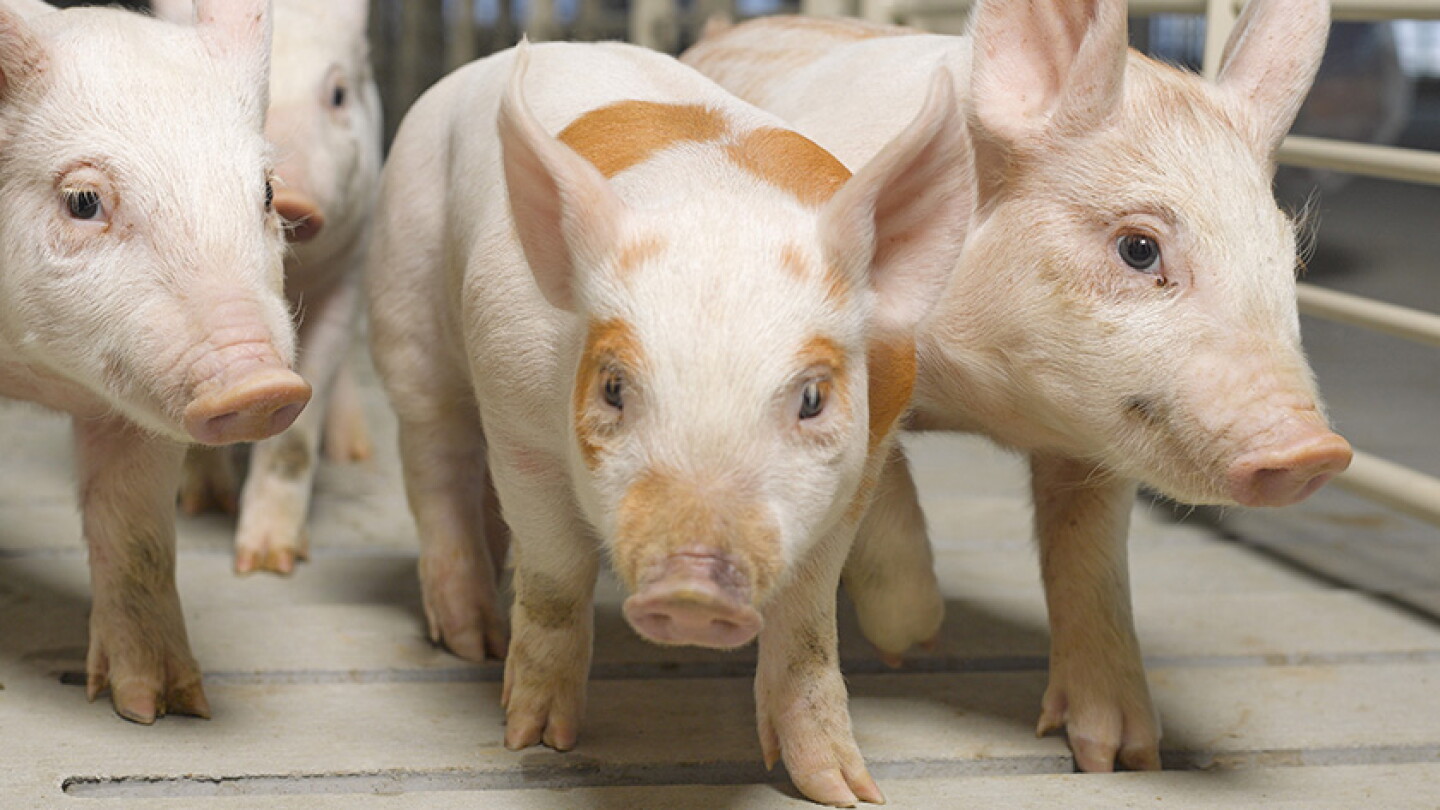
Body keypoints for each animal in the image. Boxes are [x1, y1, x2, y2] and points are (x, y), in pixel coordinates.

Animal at [0, 0, 306, 722]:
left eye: (266, 192)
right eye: (83, 201)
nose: (261, 385)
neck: (30, 373)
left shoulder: (141, 408)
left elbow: (136, 530)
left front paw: (161, 706)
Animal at [152, 0, 383, 575]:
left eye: (338, 95)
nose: (293, 195)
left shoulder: (351, 263)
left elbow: (296, 435)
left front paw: (266, 564)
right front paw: (205, 506)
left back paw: (354, 453)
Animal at [366, 40, 973, 806]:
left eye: (813, 397)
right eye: (613, 387)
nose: (691, 587)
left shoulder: (861, 464)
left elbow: (808, 626)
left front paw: (846, 789)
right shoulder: (515, 420)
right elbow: (556, 578)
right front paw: (536, 740)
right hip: (404, 291)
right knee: (433, 454)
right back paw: (473, 639)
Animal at [683, 0, 1351, 773]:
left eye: (1289, 259)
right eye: (1139, 247)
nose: (1314, 451)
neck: (980, 400)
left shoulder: (1096, 439)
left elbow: (1089, 559)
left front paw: (1119, 757)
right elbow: (877, 500)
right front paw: (912, 642)